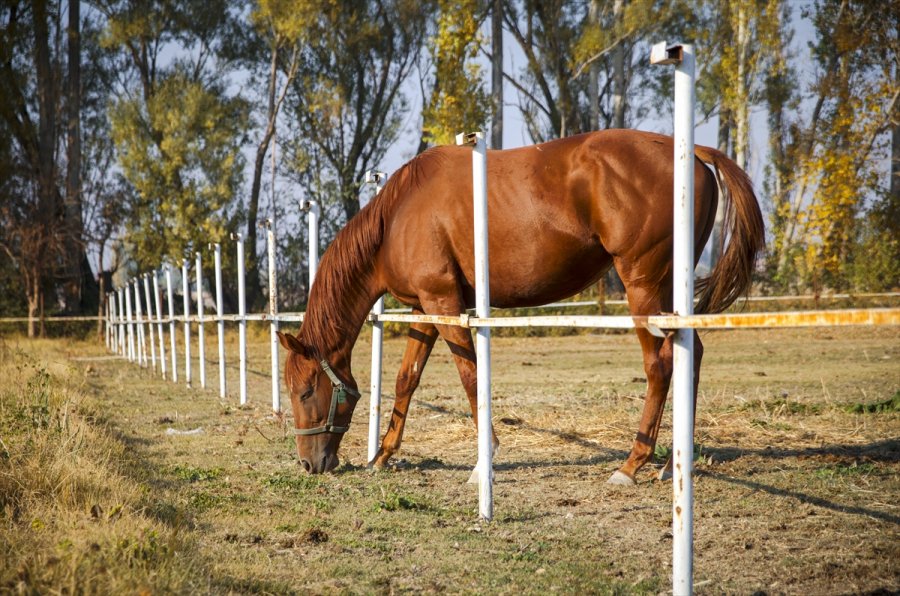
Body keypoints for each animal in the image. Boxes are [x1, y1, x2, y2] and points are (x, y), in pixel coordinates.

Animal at [278, 130, 764, 484]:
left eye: (304, 392)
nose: (308, 464)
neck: (400, 214)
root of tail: (690, 150)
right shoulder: (425, 310)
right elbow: (405, 381)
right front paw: (382, 454)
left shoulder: (443, 303)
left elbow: (471, 378)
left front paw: (483, 462)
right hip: (667, 294)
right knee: (690, 354)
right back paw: (672, 464)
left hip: (642, 286)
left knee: (659, 364)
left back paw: (632, 464)